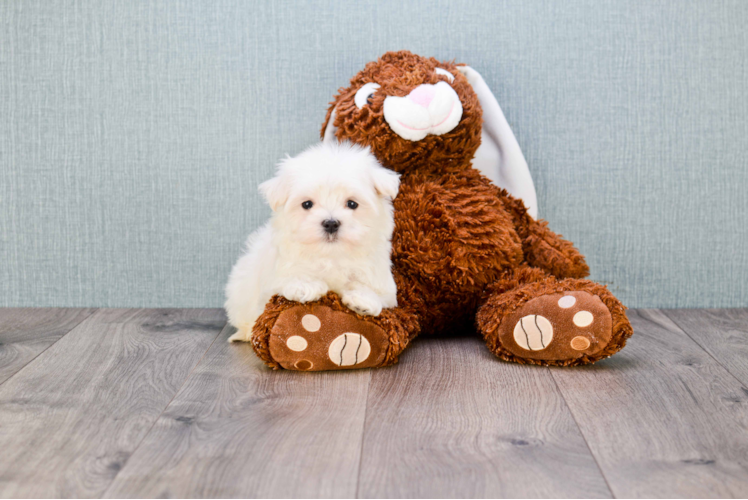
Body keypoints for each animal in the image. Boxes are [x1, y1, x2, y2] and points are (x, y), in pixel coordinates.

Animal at [225, 143, 400, 342]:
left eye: (352, 204)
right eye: (307, 204)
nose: (331, 223)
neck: (331, 255)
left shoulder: (381, 281)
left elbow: (373, 290)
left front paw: (363, 299)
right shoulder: (276, 276)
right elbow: (289, 279)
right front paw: (305, 286)